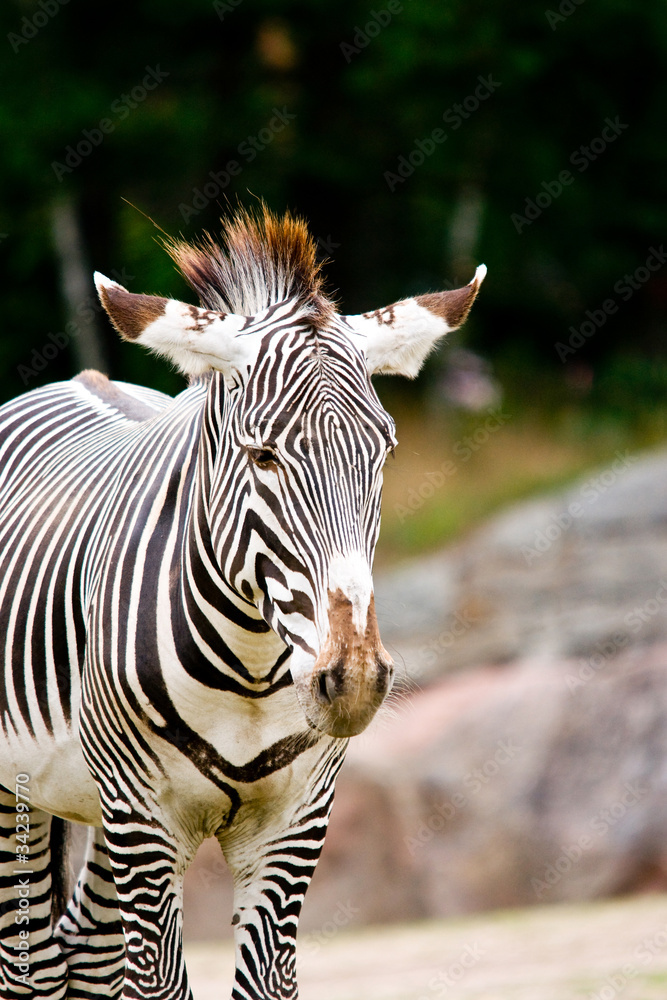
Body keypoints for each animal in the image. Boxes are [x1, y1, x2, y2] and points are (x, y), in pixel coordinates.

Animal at [0, 206, 485, 1000]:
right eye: (262, 457)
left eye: (382, 454)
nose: (353, 680)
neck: (250, 670)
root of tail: (72, 381)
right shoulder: (145, 822)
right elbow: (159, 983)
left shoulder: (292, 824)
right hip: (26, 793)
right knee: (33, 962)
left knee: (86, 955)